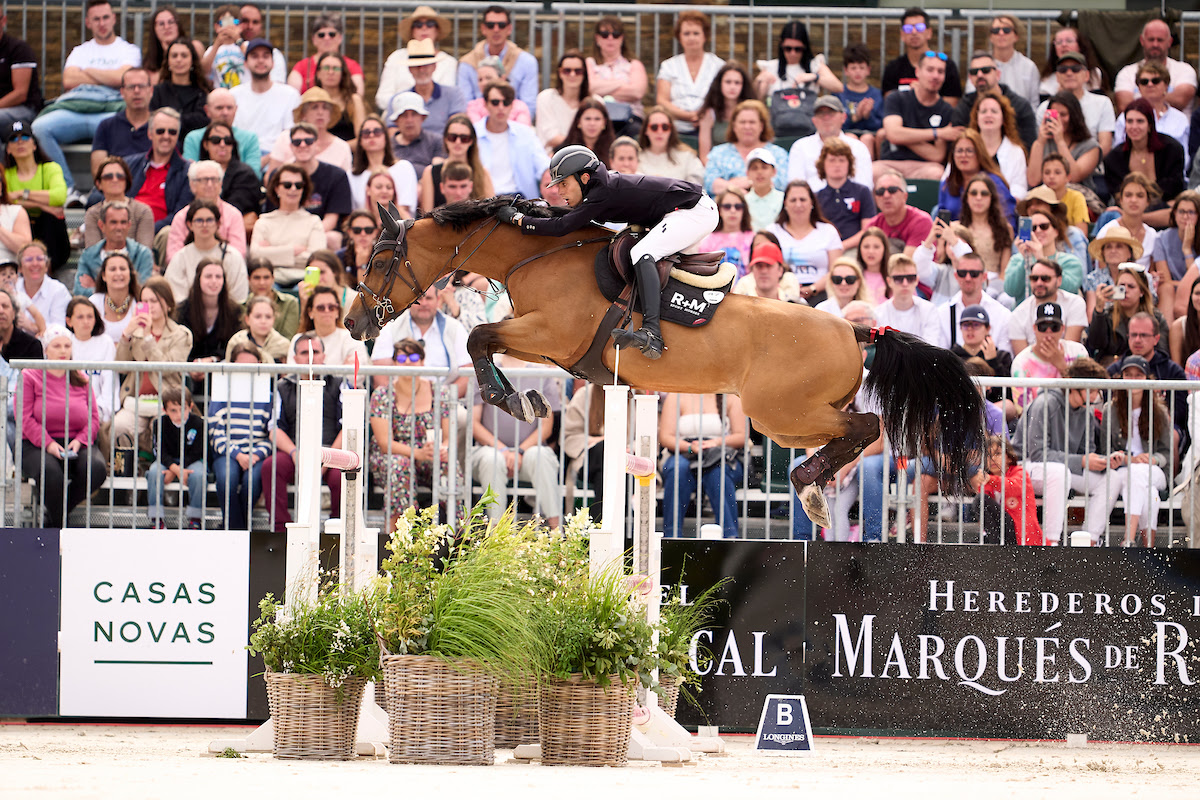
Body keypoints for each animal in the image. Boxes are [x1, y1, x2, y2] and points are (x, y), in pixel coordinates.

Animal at [343, 196, 979, 527]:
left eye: (378, 260)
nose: (352, 324)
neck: (539, 254)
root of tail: (854, 329)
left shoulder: (551, 333)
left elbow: (477, 335)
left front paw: (515, 401)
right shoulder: (543, 342)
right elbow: (486, 344)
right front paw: (523, 398)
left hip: (779, 412)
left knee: (867, 427)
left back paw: (807, 489)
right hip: (793, 419)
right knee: (853, 433)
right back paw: (815, 489)